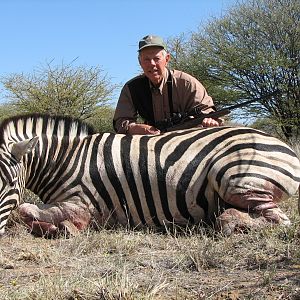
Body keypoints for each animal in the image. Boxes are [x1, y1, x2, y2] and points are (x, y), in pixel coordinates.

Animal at [0, 113, 298, 238]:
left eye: (10, 183)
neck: (66, 160)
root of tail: (286, 147)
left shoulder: (83, 203)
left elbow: (24, 210)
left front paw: (64, 228)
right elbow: (26, 212)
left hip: (234, 178)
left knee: (279, 221)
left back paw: (225, 222)